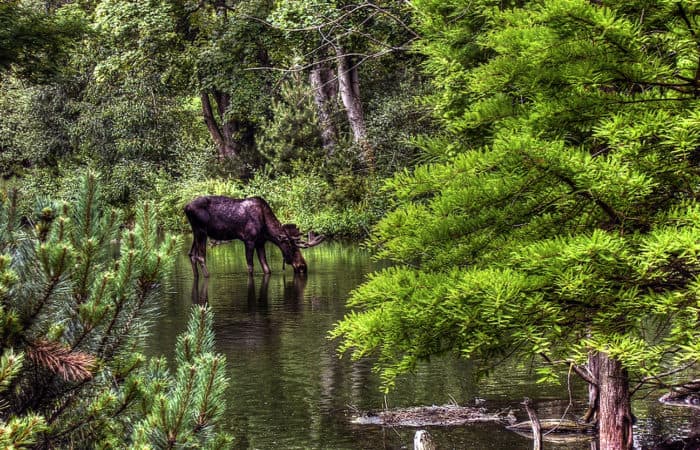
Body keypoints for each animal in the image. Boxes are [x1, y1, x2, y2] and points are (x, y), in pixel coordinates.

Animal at [183, 194, 326, 276]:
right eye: (293, 248)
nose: (303, 267)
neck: (266, 230)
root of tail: (186, 207)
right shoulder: (249, 240)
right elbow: (250, 266)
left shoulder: (260, 242)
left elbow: (267, 269)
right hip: (201, 230)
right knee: (201, 257)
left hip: (196, 232)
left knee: (191, 254)